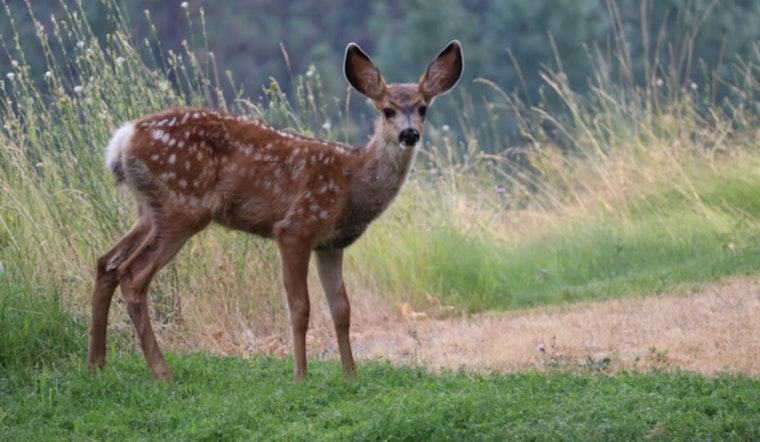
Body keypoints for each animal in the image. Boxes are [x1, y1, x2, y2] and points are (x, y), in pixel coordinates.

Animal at [87, 40, 463, 382]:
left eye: (423, 108)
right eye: (387, 110)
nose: (409, 134)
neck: (352, 181)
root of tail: (123, 138)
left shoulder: (330, 244)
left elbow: (341, 308)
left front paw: (350, 375)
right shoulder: (296, 227)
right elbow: (300, 307)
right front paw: (301, 376)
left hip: (149, 210)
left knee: (107, 262)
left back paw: (97, 363)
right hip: (183, 206)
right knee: (133, 274)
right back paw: (161, 371)